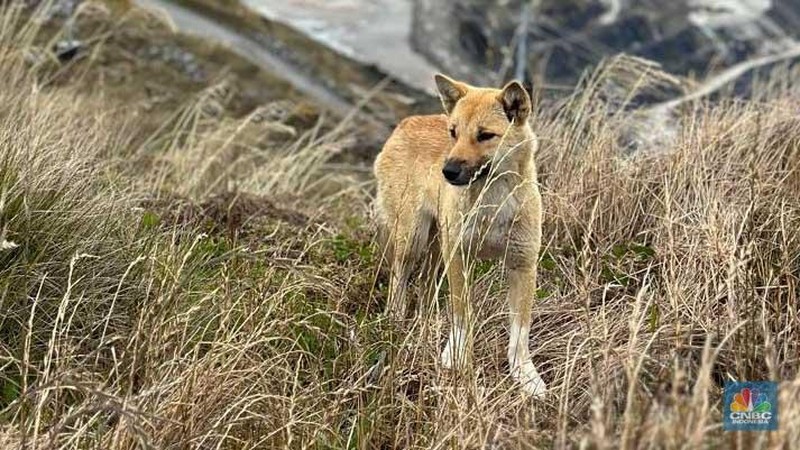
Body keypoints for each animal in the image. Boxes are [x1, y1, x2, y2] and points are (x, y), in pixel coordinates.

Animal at [372, 74, 548, 398]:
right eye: (453, 133)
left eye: (485, 135)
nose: (448, 171)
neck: (492, 203)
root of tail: (405, 123)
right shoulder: (459, 258)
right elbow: (462, 314)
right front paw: (456, 359)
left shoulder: (523, 264)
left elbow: (520, 332)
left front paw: (526, 377)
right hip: (413, 241)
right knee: (399, 283)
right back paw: (394, 324)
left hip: (436, 249)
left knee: (425, 290)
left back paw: (424, 327)